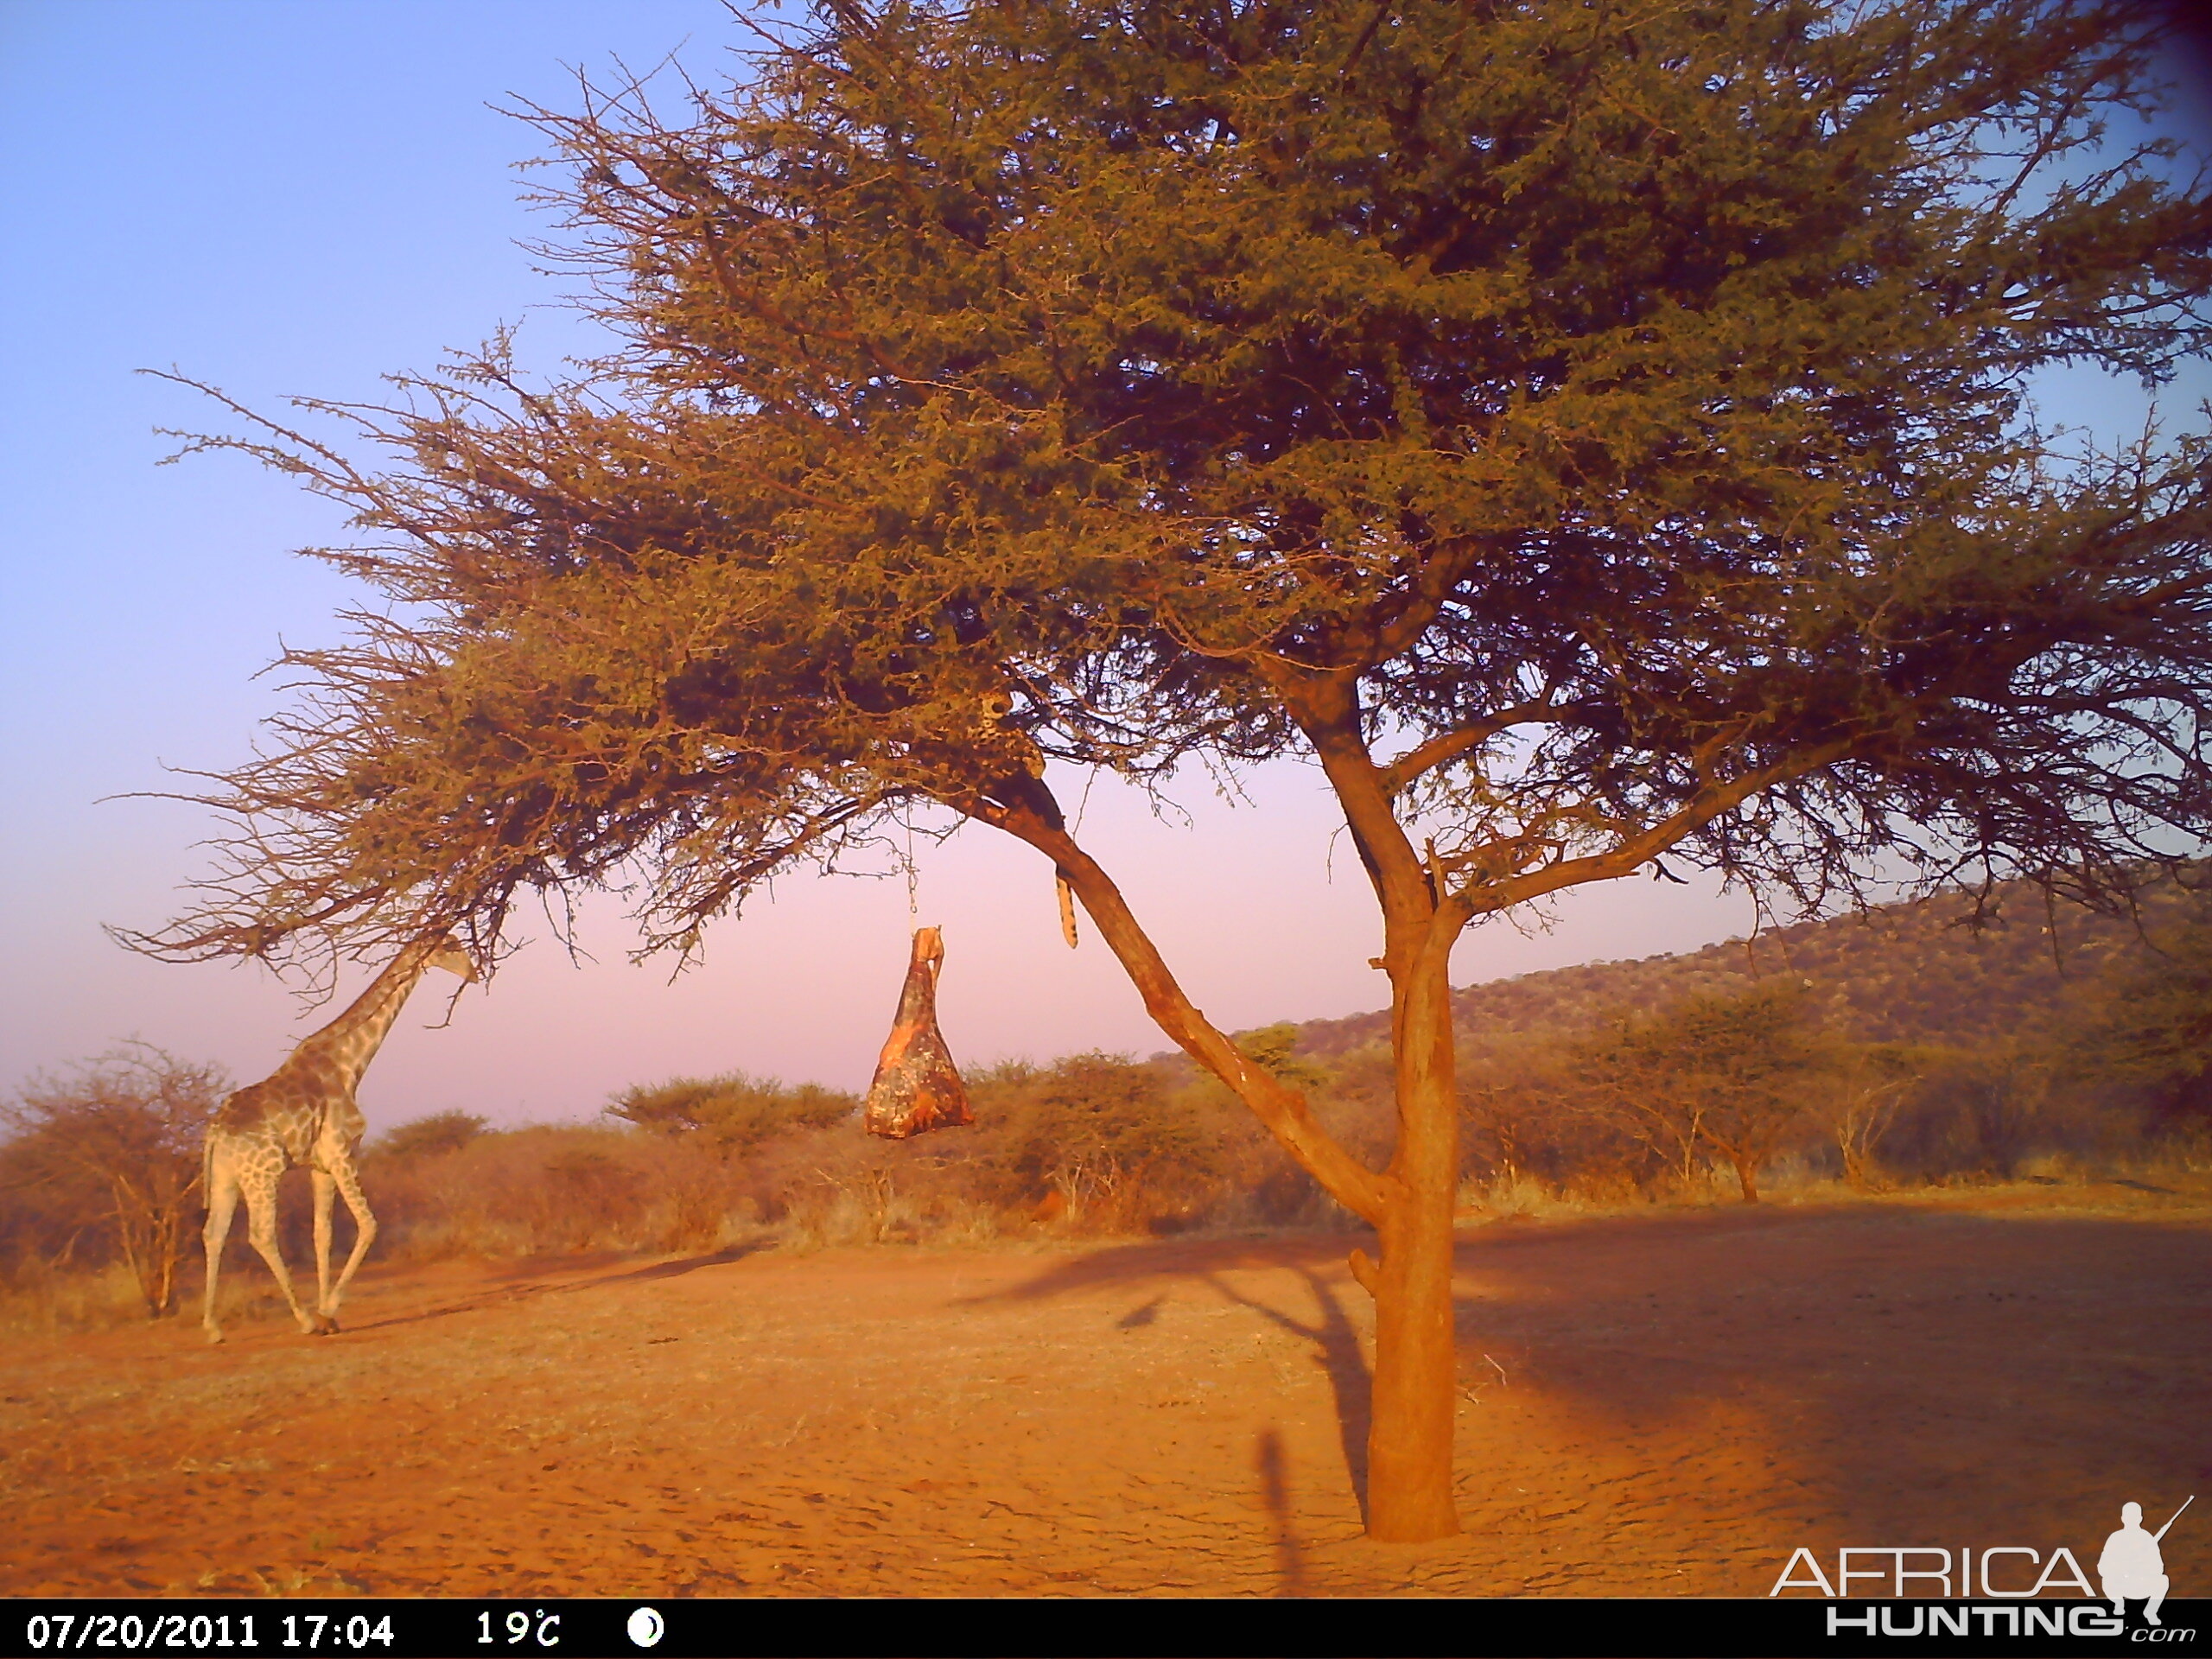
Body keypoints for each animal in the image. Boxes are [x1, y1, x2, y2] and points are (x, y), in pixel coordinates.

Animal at [200, 942, 477, 1344]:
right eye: (451, 946)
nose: (474, 973)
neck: (349, 1063)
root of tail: (216, 1130)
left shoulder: (321, 1167)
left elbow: (323, 1234)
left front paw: (329, 1314)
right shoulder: (344, 1153)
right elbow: (369, 1225)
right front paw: (327, 1312)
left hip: (225, 1177)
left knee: (213, 1234)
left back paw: (213, 1327)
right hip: (262, 1174)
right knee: (261, 1235)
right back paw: (303, 1320)